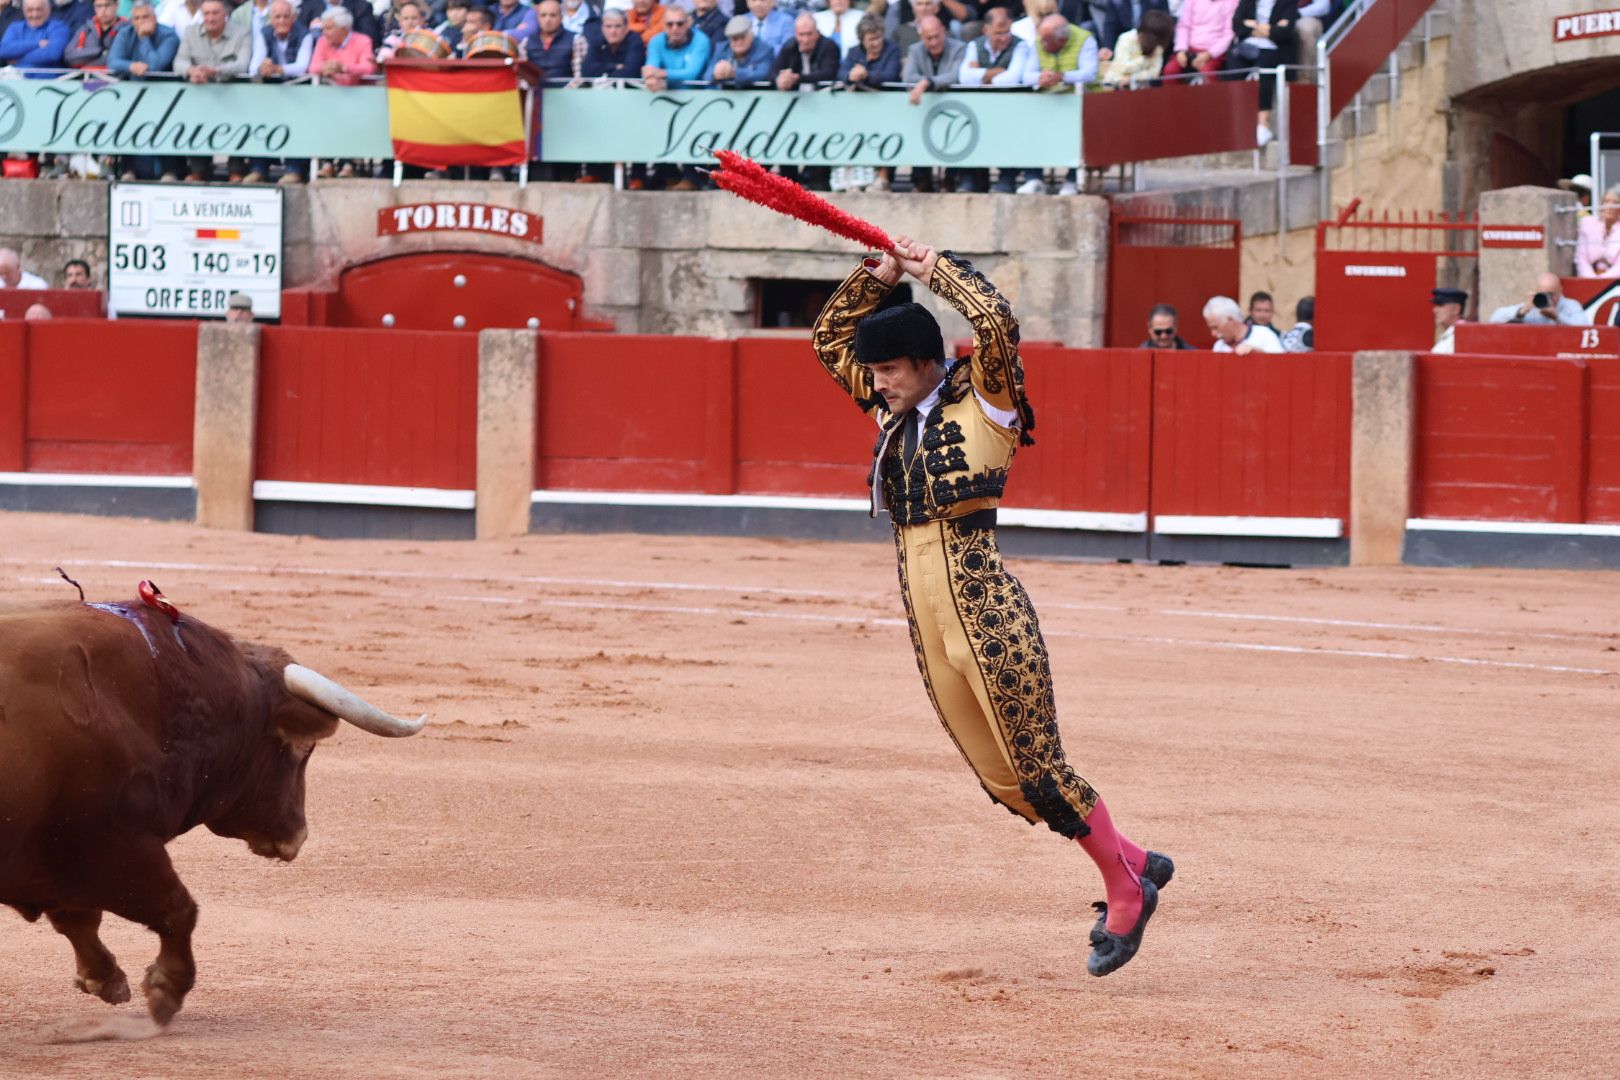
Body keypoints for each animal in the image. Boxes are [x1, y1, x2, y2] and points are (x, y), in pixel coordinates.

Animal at [0, 582, 424, 1036]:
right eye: (302, 748)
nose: (299, 834)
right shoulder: (115, 846)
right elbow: (177, 908)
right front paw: (165, 991)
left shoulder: (61, 862)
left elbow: (80, 919)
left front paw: (106, 980)